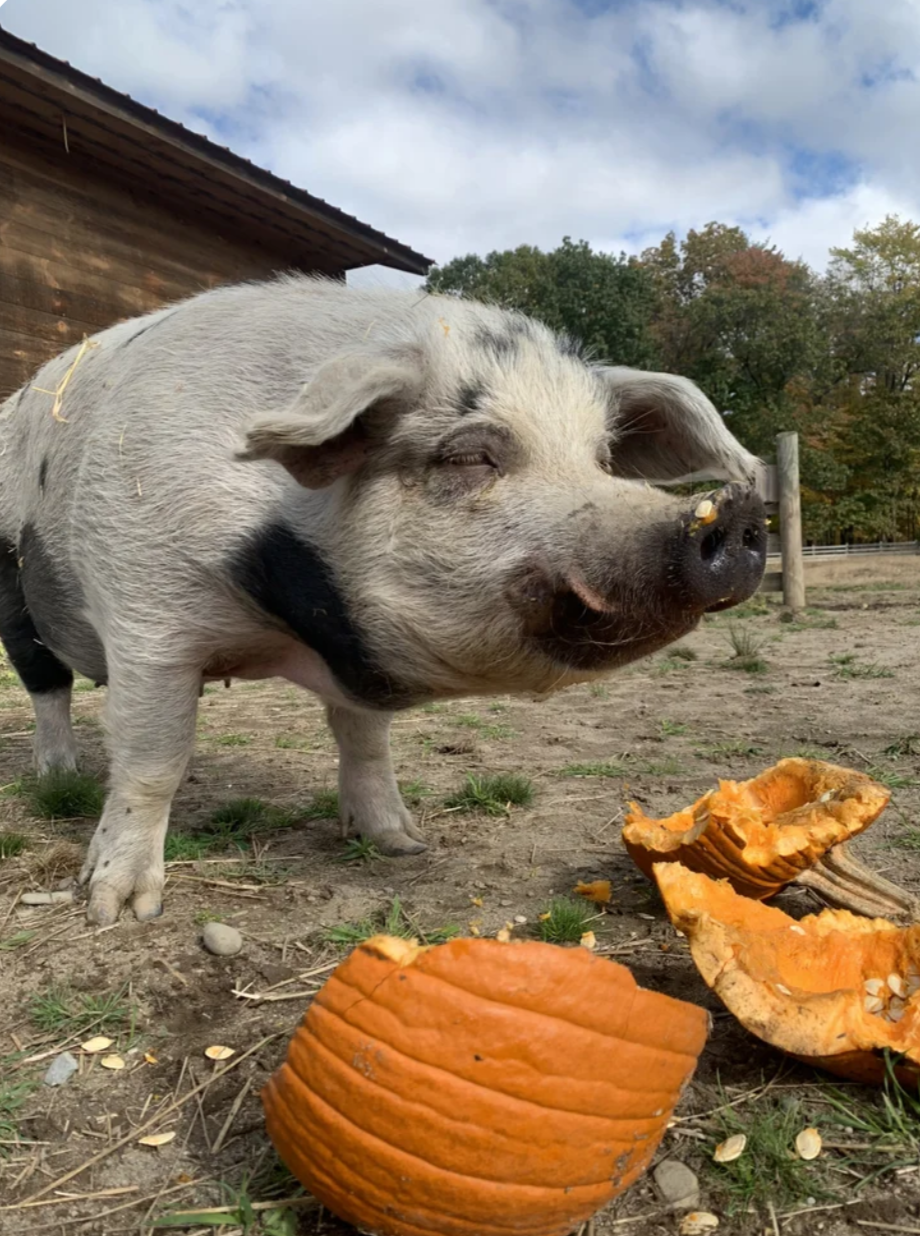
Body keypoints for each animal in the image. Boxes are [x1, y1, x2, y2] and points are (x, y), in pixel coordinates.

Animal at [0, 275, 767, 925]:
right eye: (469, 456)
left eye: (603, 460)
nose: (733, 512)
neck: (285, 619)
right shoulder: (146, 616)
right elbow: (152, 759)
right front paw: (120, 911)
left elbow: (365, 740)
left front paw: (402, 842)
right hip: (14, 590)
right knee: (46, 684)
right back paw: (58, 776)